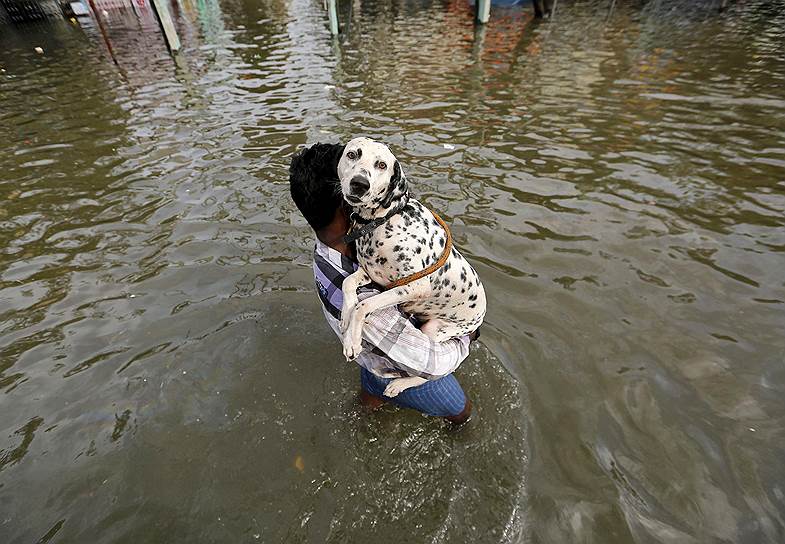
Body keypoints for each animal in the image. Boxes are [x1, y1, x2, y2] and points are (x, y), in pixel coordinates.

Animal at [336, 138, 484, 398]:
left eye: (382, 165)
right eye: (353, 154)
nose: (360, 184)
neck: (383, 220)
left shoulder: (413, 287)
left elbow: (364, 305)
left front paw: (352, 341)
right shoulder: (369, 273)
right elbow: (347, 284)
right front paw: (345, 318)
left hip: (434, 329)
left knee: (431, 373)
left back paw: (399, 384)